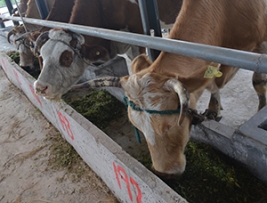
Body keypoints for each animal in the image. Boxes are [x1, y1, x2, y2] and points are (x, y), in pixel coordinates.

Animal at [70, 0, 266, 178]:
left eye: (171, 124)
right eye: (136, 124)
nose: (165, 172)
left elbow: (255, 81)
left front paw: (260, 110)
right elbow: (213, 82)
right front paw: (213, 109)